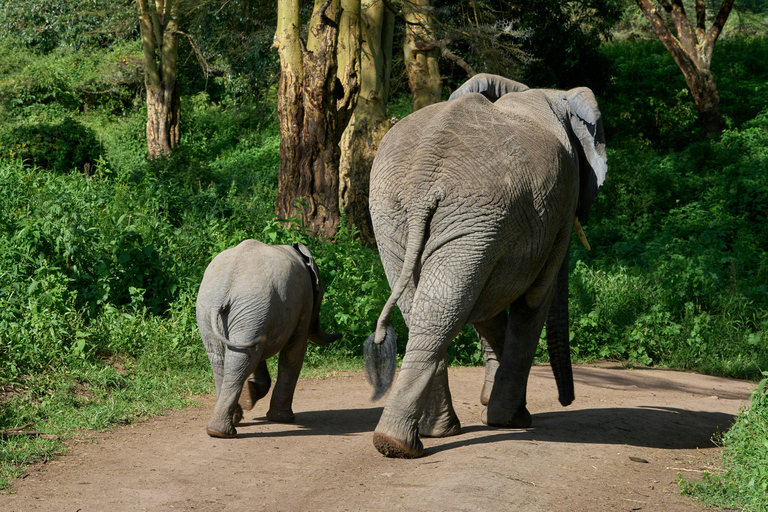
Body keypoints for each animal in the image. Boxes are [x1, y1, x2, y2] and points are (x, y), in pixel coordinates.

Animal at [196, 239, 340, 436]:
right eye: (323, 294)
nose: (340, 334)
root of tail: (226, 283)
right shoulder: (304, 303)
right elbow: (294, 353)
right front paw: (283, 419)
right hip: (247, 308)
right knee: (242, 357)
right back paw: (225, 429)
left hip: (220, 309)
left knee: (226, 357)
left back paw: (222, 427)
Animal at [364, 71, 608, 456]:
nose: (566, 401)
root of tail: (423, 177)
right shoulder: (557, 207)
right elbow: (532, 301)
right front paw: (511, 421)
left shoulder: (498, 229)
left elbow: (484, 303)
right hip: (465, 212)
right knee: (447, 304)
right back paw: (407, 442)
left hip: (404, 216)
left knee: (432, 306)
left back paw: (414, 438)